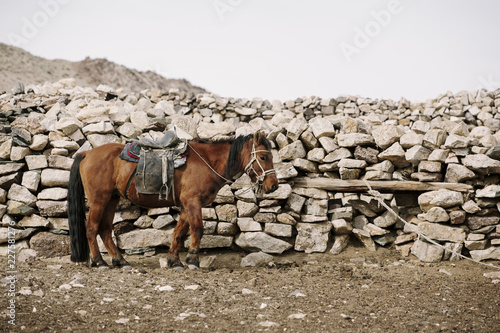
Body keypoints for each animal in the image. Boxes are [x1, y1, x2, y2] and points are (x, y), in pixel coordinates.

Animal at [67, 131, 280, 268]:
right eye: (263, 157)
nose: (273, 186)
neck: (207, 162)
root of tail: (87, 153)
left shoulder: (187, 205)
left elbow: (179, 231)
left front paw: (174, 261)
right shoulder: (192, 202)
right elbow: (197, 229)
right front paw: (193, 260)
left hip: (111, 199)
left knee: (104, 229)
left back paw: (120, 261)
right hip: (98, 199)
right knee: (91, 227)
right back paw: (99, 262)